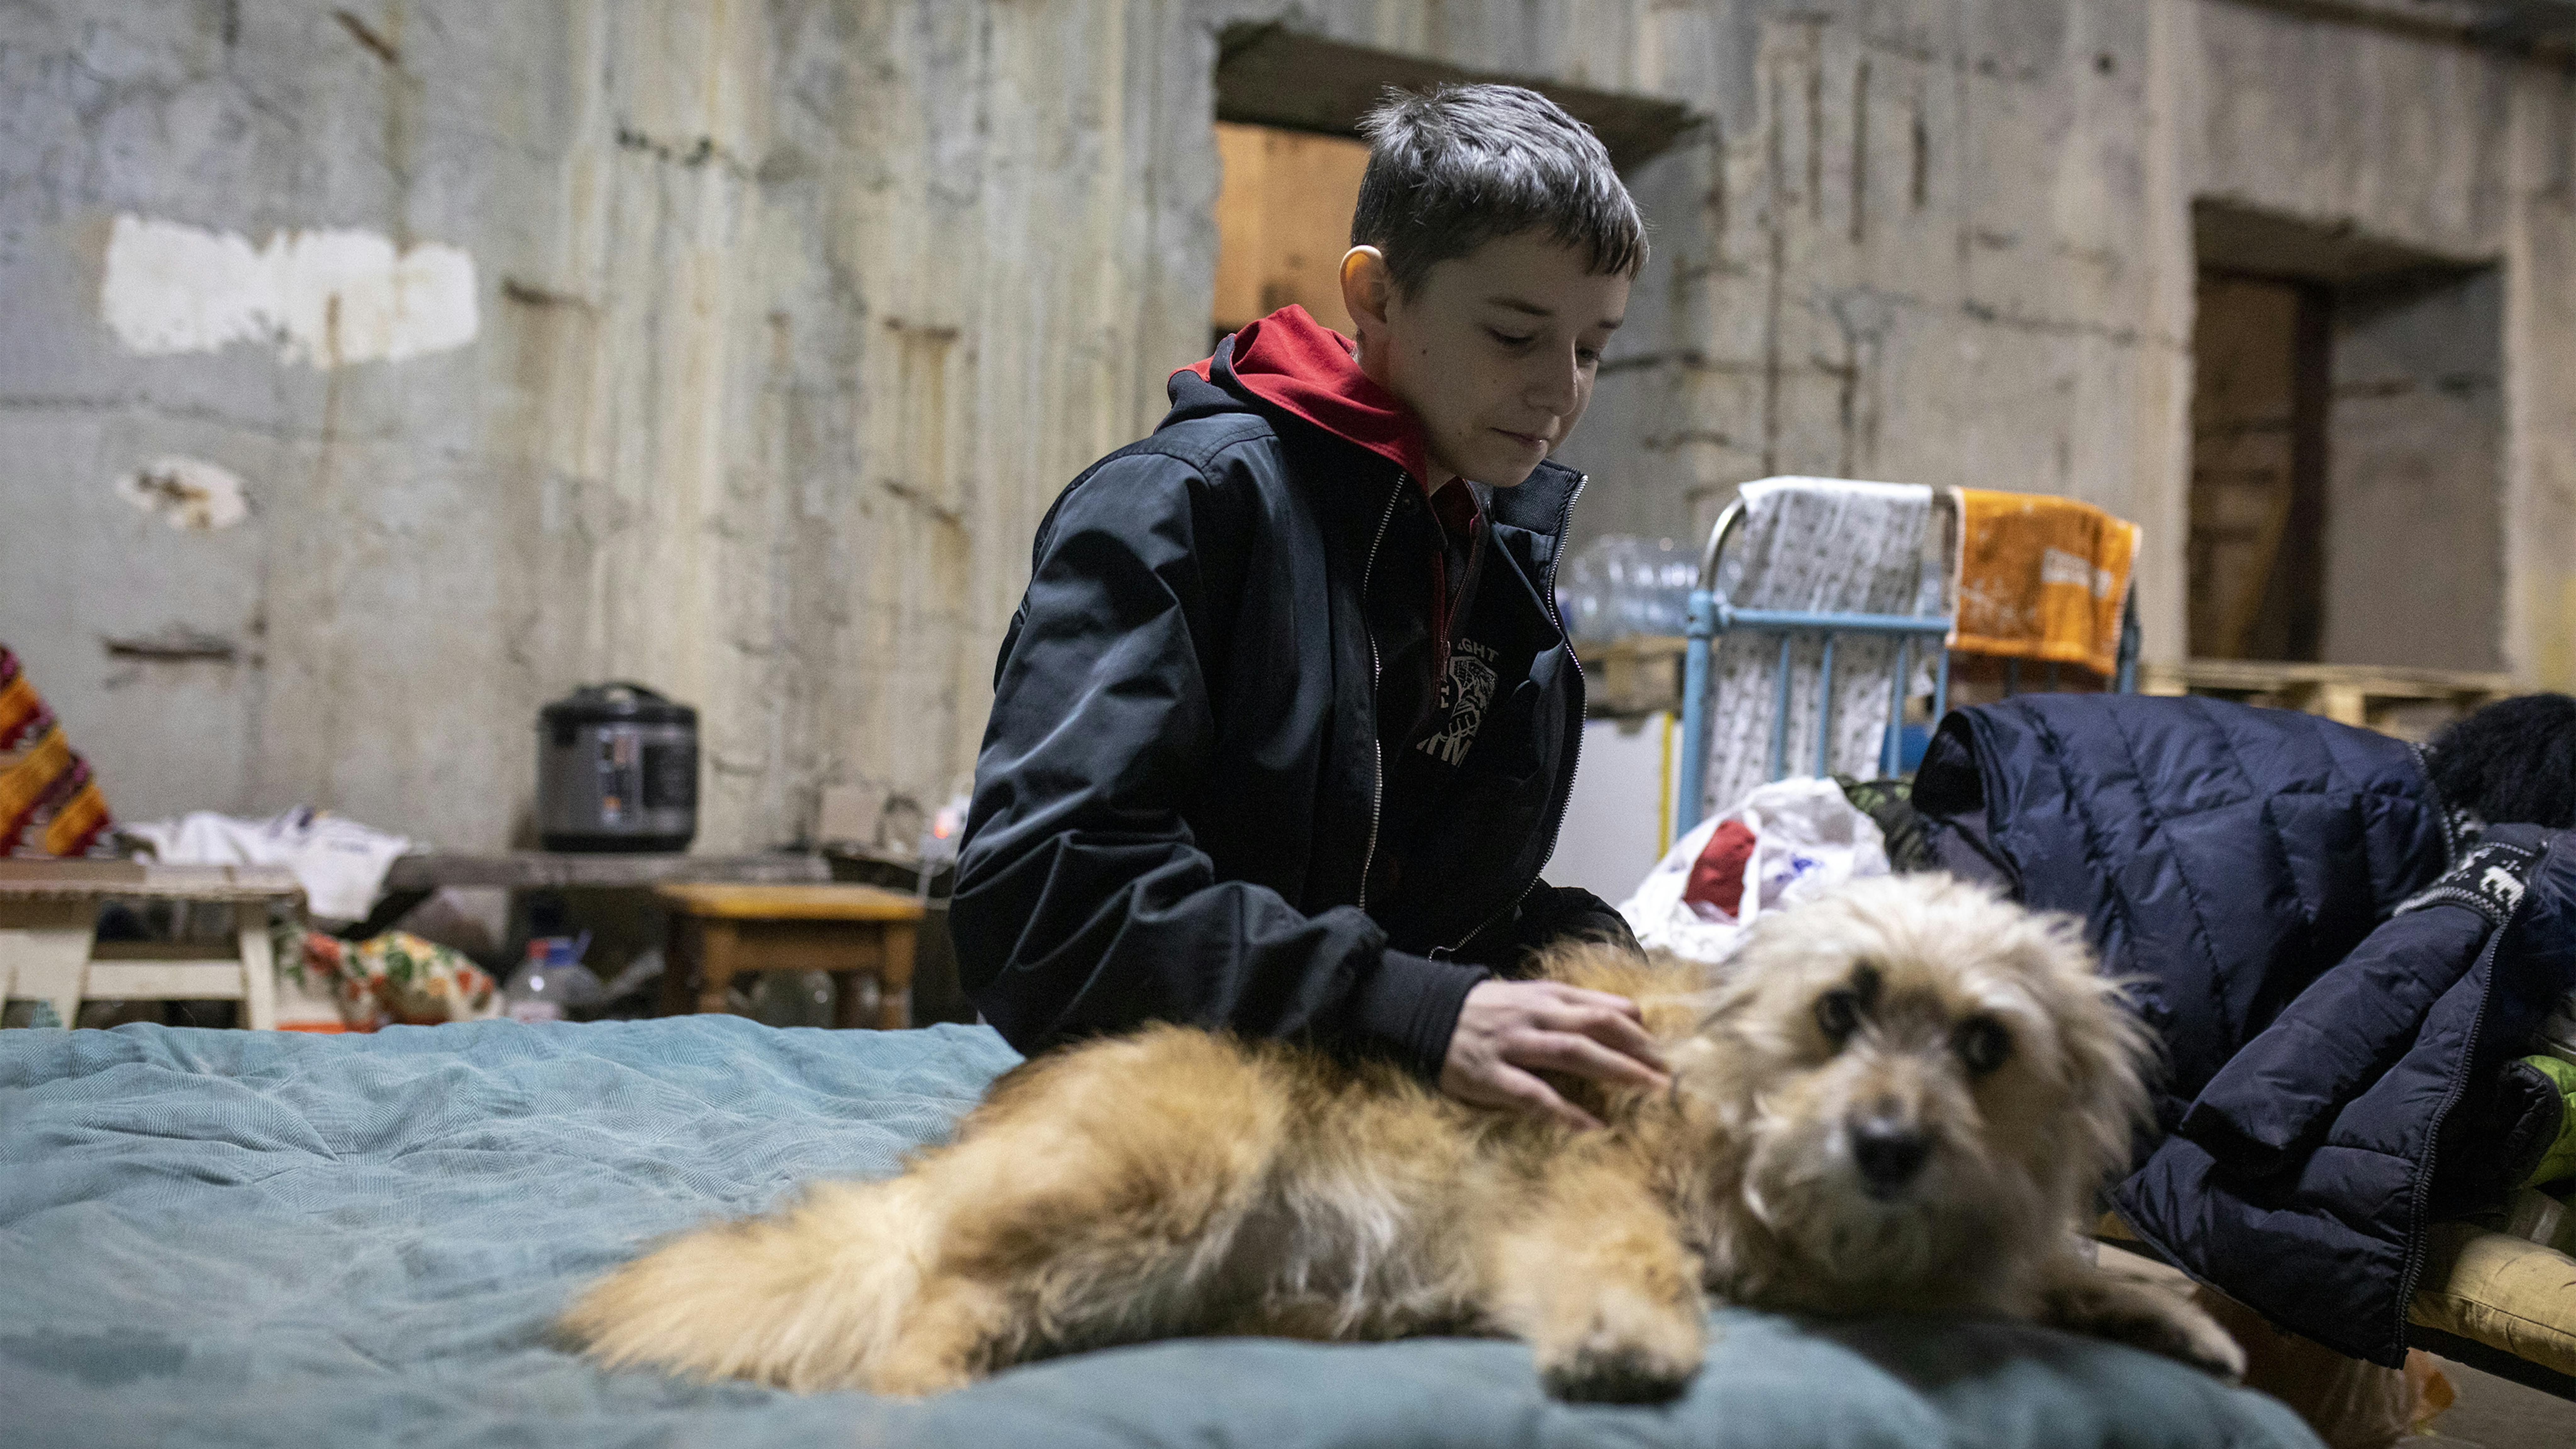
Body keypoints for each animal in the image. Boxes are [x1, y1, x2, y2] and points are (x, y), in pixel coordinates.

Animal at [564, 876, 2236, 1392]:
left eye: (1984, 1047)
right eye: (1843, 1011)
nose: (1888, 1148)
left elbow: (2058, 1268)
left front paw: (2168, 1311)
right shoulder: (1623, 1200)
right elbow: (1634, 1259)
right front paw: (1627, 1341)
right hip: (1170, 1179)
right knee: (915, 1311)